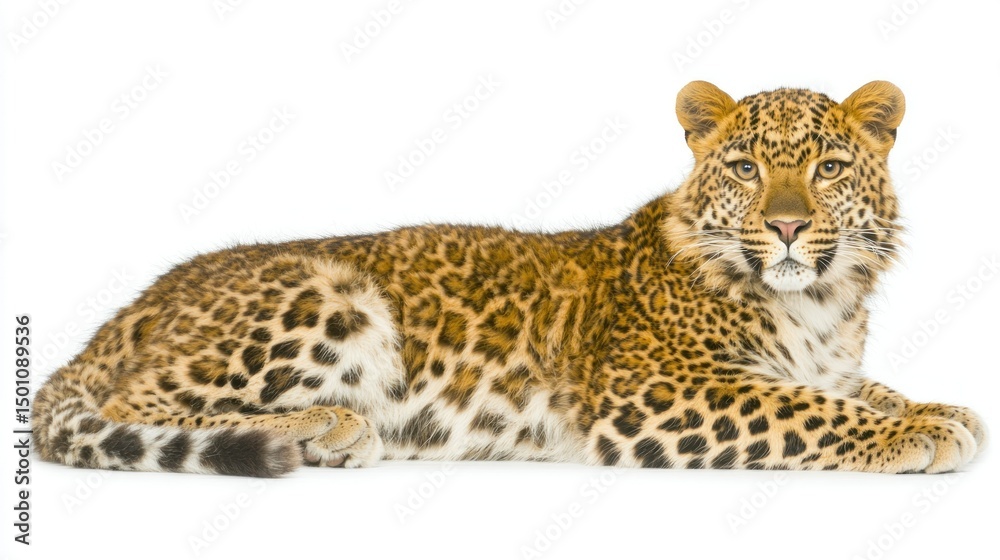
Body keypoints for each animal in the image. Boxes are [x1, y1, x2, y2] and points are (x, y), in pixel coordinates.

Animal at [33, 80, 986, 477]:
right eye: (748, 168)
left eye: (828, 168)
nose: (787, 225)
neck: (819, 301)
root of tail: (143, 301)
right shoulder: (657, 390)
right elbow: (805, 409)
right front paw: (917, 434)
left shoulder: (826, 363)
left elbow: (858, 389)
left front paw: (944, 410)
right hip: (329, 298)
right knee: (137, 403)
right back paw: (327, 425)